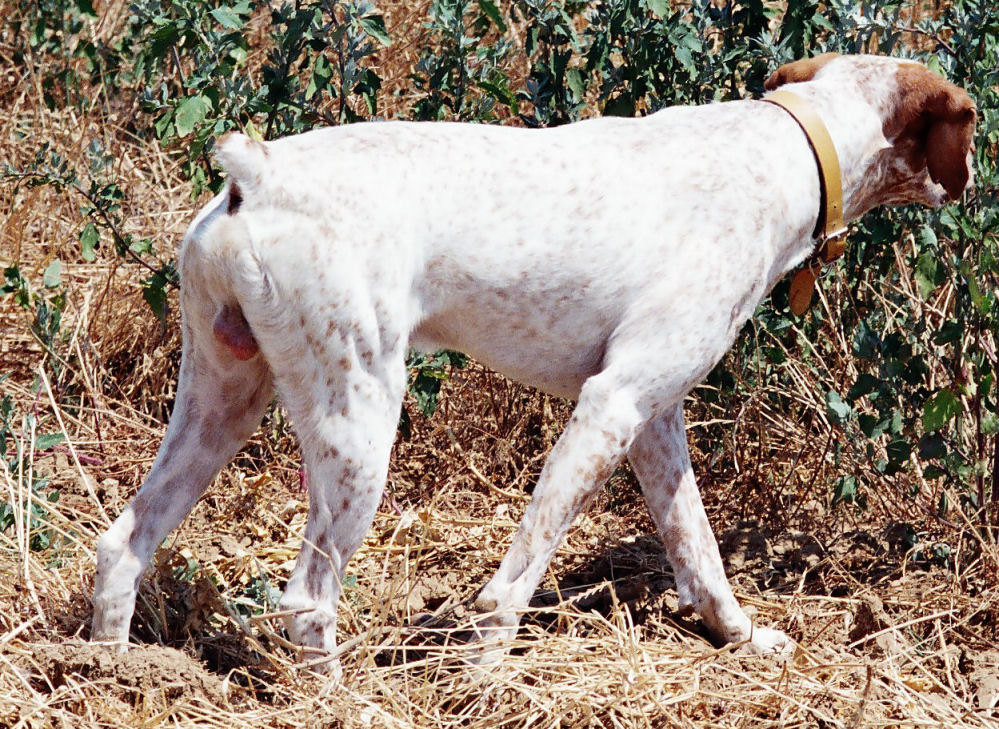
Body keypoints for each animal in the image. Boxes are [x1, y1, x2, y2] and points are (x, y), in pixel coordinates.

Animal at [92, 54, 976, 672]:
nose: (969, 189)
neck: (784, 148)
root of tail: (258, 176)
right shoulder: (610, 404)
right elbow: (514, 577)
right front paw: (484, 671)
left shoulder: (654, 417)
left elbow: (698, 551)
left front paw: (743, 635)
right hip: (358, 425)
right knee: (307, 597)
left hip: (222, 399)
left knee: (123, 542)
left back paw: (107, 668)